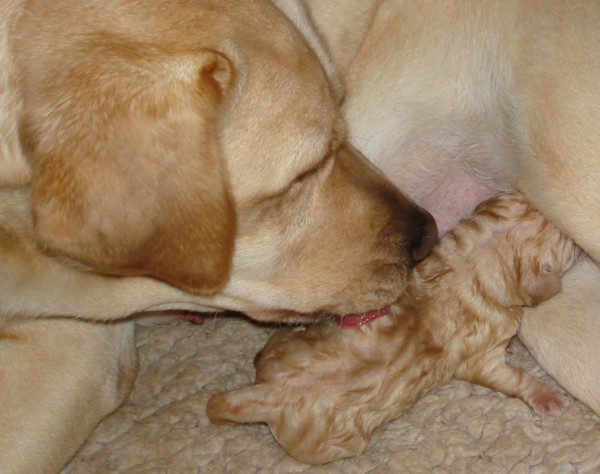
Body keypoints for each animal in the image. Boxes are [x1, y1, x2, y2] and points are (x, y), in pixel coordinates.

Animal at [207, 193, 580, 462]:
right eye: (566, 242)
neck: (466, 268)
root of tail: (267, 396)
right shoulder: (480, 360)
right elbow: (512, 377)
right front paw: (546, 396)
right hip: (332, 445)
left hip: (282, 350)